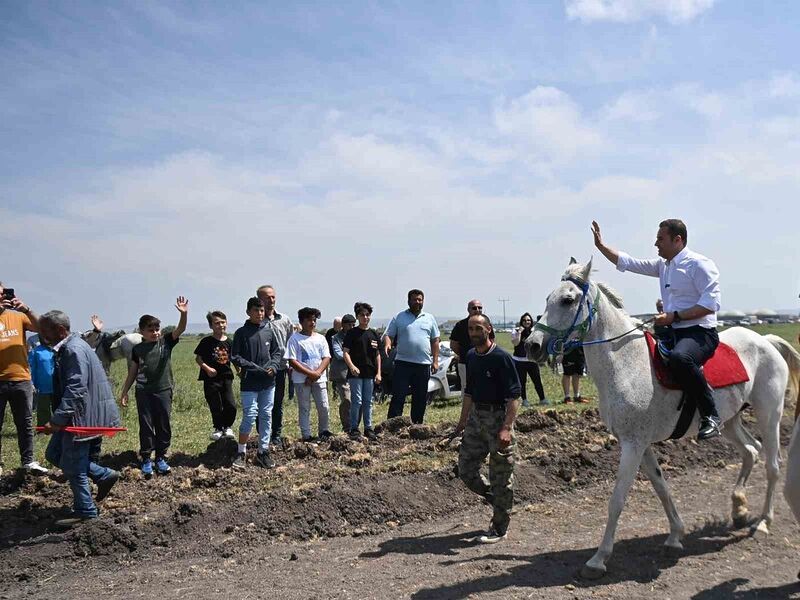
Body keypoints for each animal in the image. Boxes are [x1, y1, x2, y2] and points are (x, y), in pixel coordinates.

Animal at [524, 260, 800, 580]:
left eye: (568, 299)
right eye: (548, 298)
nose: (532, 345)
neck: (627, 364)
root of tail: (765, 340)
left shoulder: (632, 445)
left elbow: (617, 500)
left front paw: (598, 559)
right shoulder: (640, 444)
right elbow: (661, 487)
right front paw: (675, 536)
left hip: (770, 414)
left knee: (772, 465)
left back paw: (763, 521)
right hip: (730, 421)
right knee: (751, 451)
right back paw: (739, 509)